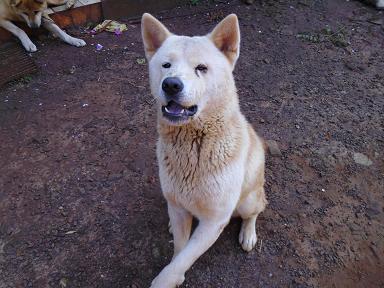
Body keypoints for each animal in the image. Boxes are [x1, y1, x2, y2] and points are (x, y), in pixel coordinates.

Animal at [141, 12, 268, 286]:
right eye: (166, 65)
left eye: (201, 68)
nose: (171, 85)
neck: (194, 146)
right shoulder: (178, 206)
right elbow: (180, 251)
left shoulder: (214, 221)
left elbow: (184, 257)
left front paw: (166, 280)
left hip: (248, 200)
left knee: (256, 210)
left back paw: (248, 233)